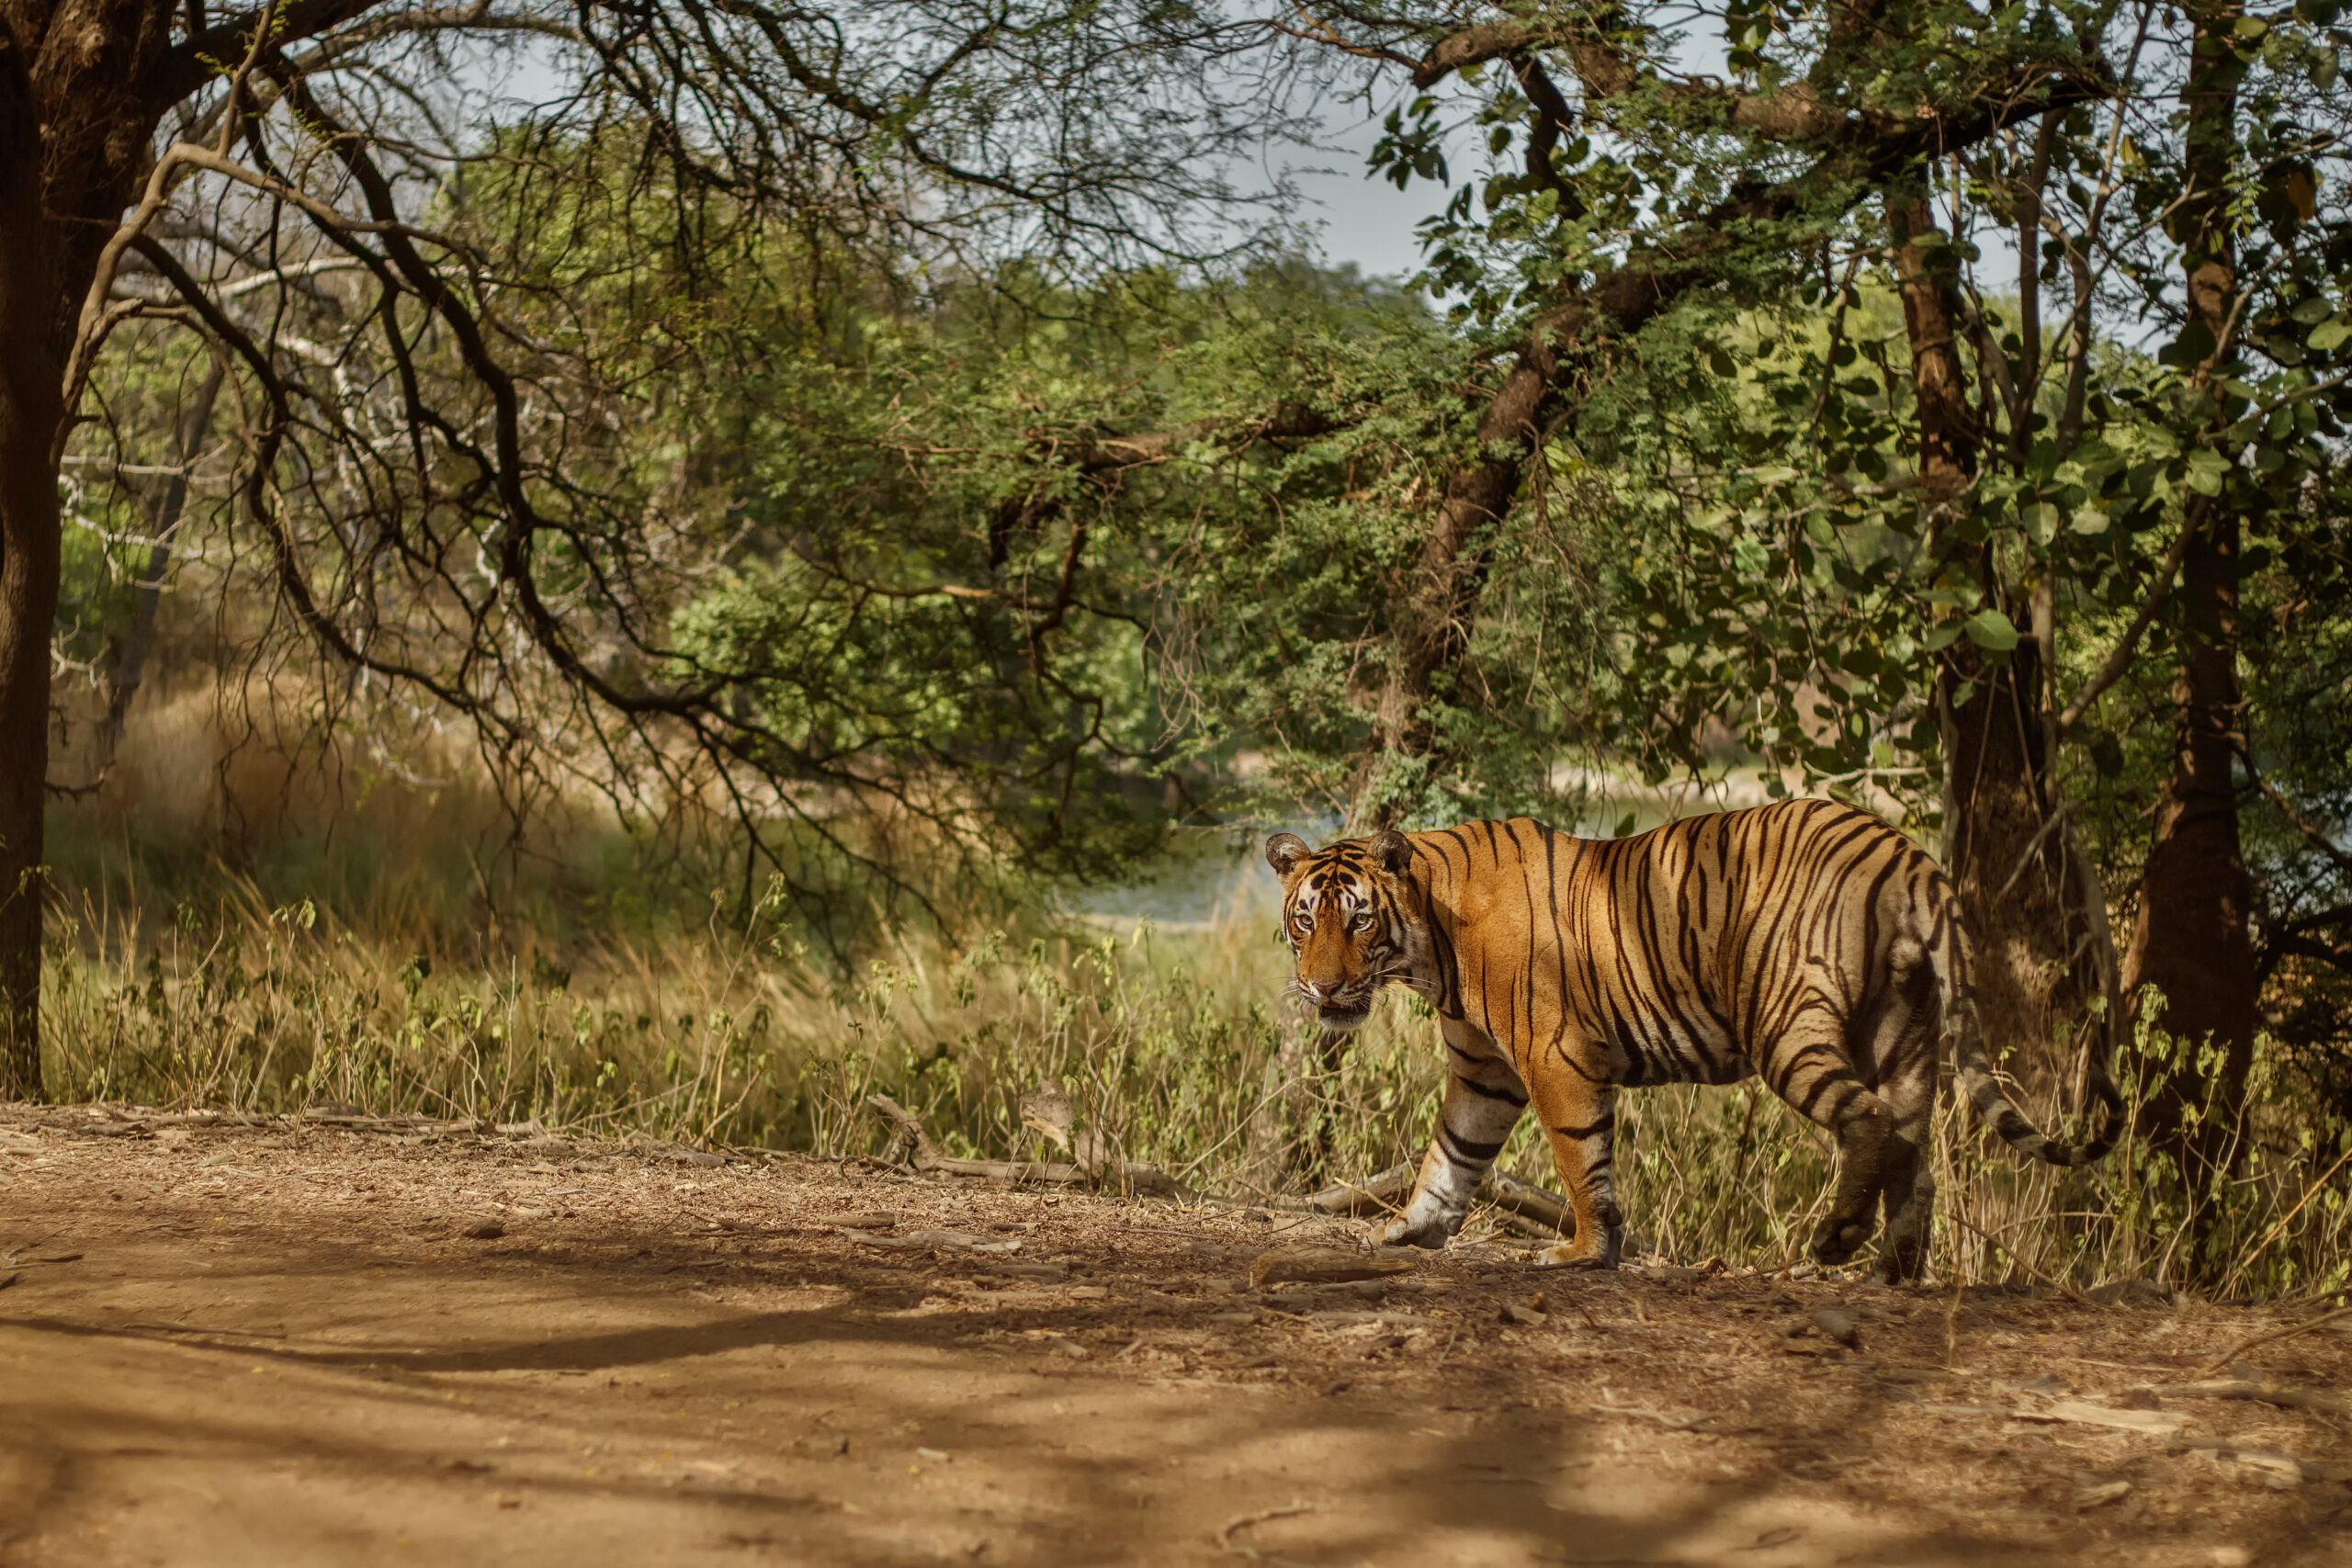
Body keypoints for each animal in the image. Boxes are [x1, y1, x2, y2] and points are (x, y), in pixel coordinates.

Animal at [1263, 797, 2122, 1283]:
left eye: (1359, 921)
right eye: (1306, 919)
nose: (1324, 988)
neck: (1428, 944)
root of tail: (1901, 849)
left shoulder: (1551, 1057)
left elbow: (1579, 1158)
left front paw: (1583, 1252)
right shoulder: (1485, 1070)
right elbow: (1451, 1155)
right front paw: (1411, 1227)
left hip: (1787, 1021)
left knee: (1870, 1119)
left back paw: (1838, 1240)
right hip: (1904, 1030)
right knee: (1917, 1149)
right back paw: (1894, 1271)